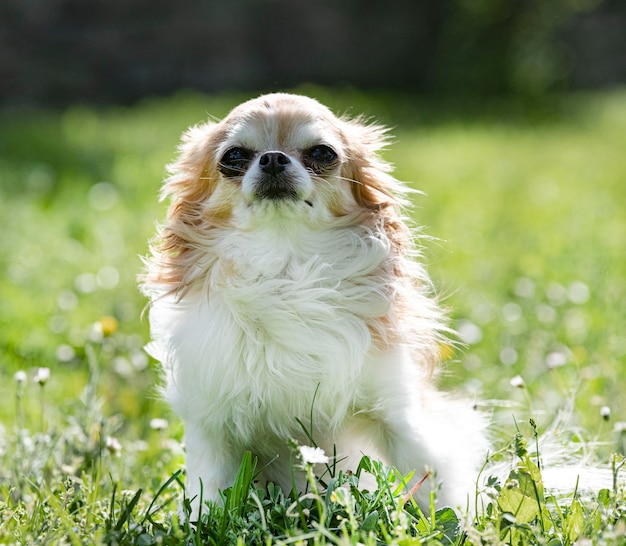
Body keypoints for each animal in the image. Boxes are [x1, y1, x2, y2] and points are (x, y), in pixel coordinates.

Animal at [141, 91, 488, 512]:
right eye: (234, 156)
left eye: (323, 153)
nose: (273, 158)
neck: (286, 269)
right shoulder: (213, 426)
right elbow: (210, 498)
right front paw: (203, 521)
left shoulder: (396, 413)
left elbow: (432, 481)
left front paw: (460, 521)